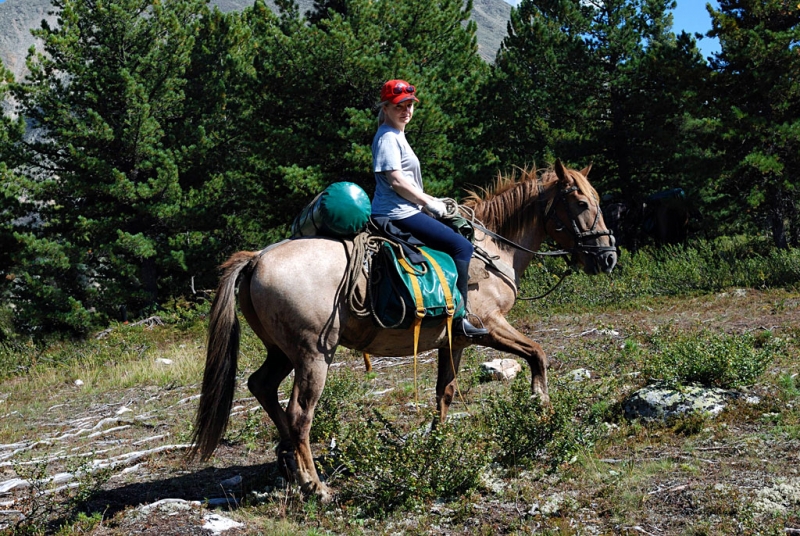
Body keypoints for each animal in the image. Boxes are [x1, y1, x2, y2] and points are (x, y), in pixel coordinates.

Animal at [191, 160, 616, 502]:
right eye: (581, 204)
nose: (608, 257)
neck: (492, 251)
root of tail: (256, 259)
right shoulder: (490, 326)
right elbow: (538, 354)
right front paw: (542, 407)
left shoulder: (455, 340)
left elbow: (445, 392)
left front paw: (437, 444)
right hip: (313, 356)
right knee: (299, 414)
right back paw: (315, 485)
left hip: (282, 352)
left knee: (261, 386)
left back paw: (288, 462)